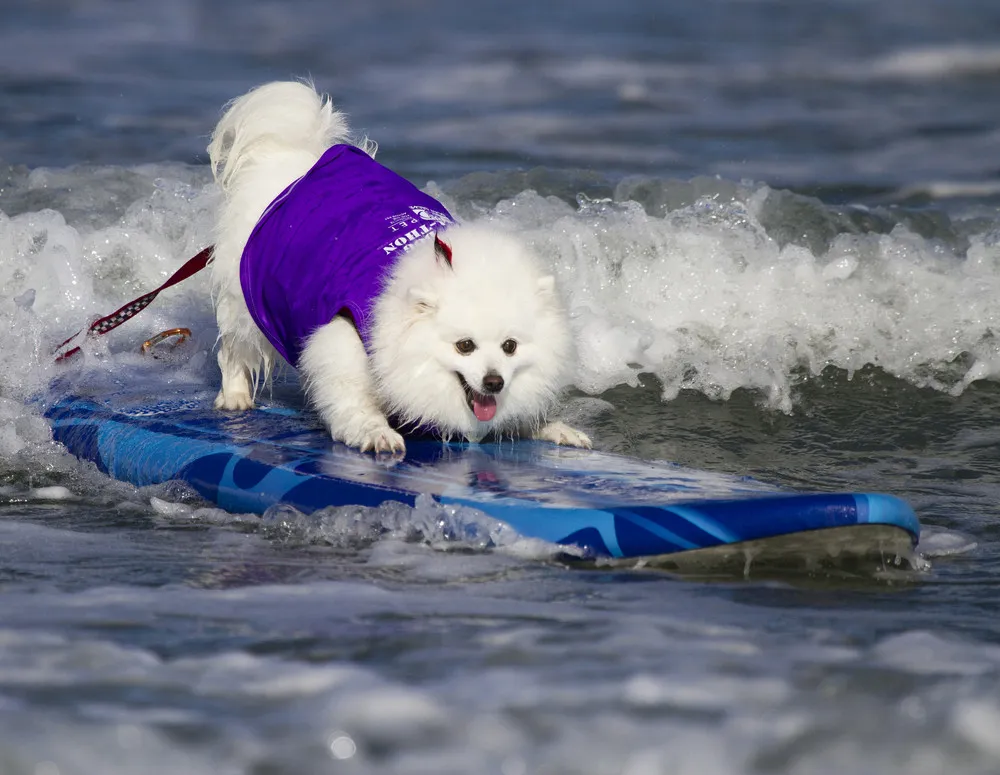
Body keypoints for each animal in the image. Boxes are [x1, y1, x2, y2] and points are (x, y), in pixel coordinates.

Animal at [206, 80, 588, 454]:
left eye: (510, 346)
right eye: (465, 345)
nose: (494, 381)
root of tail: (295, 160)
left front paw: (556, 428)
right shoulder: (342, 338)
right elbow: (351, 399)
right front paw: (376, 433)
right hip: (249, 300)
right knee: (233, 349)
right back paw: (235, 396)